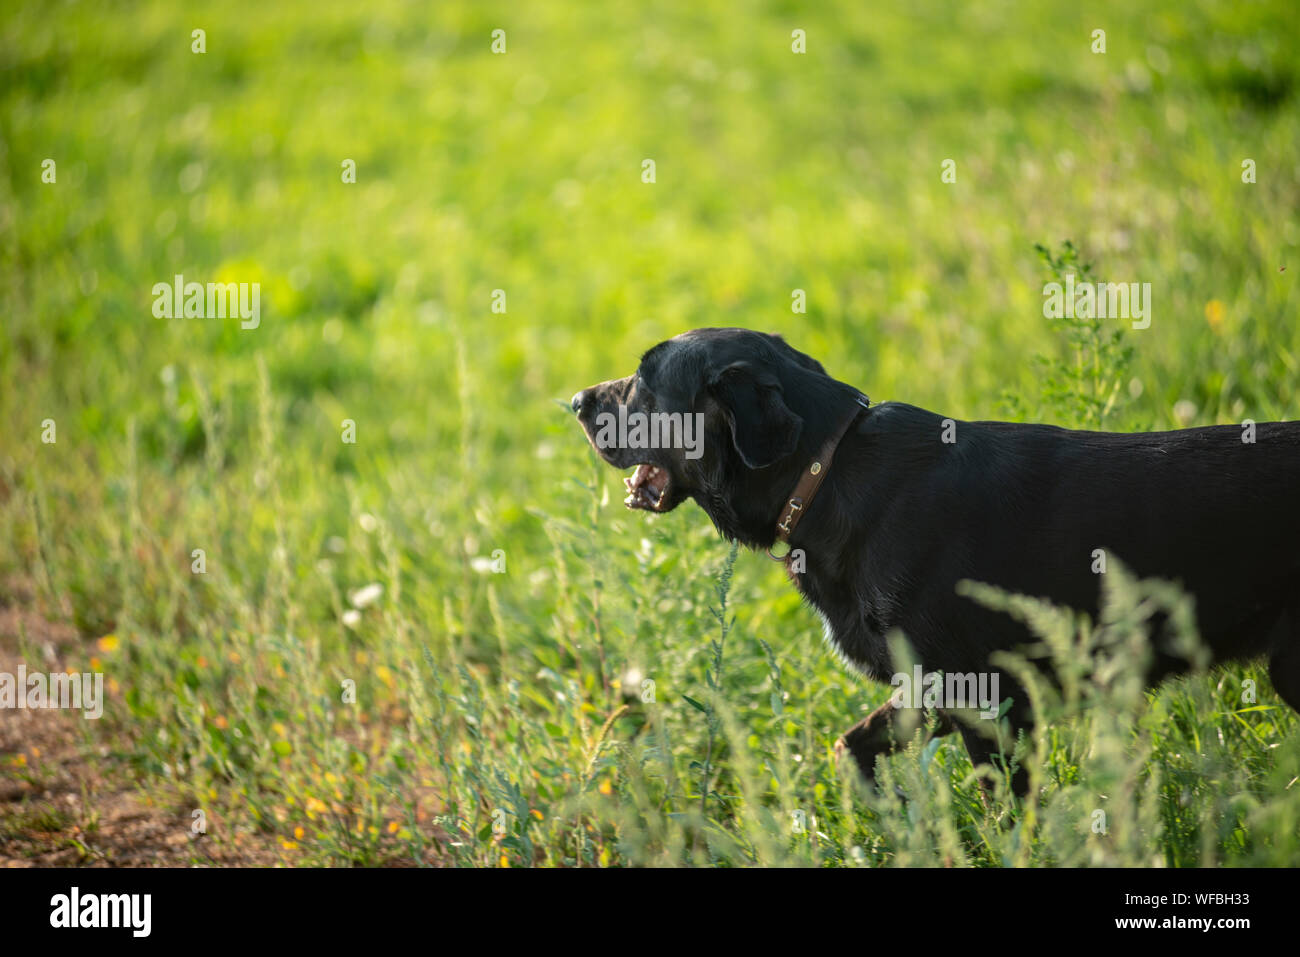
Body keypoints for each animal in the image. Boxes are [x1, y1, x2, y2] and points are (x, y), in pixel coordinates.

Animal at [574, 327, 1300, 790]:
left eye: (644, 383)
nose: (575, 401)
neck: (829, 470)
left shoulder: (988, 700)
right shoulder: (929, 690)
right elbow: (850, 747)